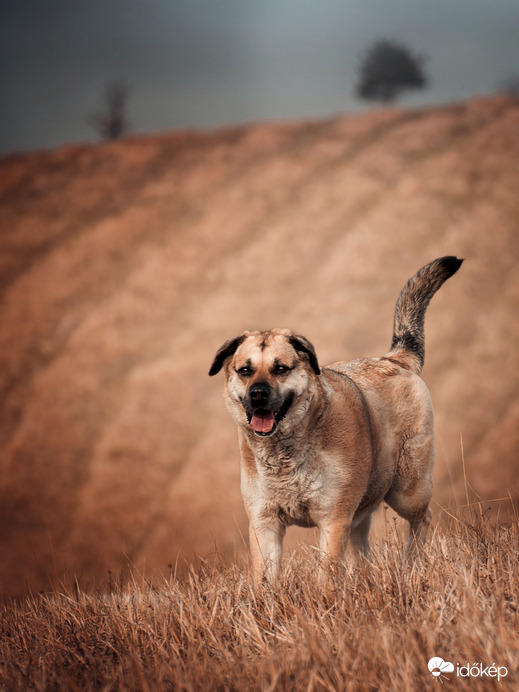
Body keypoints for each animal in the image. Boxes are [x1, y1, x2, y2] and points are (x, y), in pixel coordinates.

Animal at [209, 256, 466, 580]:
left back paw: (410, 563)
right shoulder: (264, 523)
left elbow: (327, 576)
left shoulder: (332, 520)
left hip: (408, 489)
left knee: (423, 519)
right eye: (245, 370)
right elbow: (265, 579)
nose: (257, 394)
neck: (286, 453)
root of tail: (393, 359)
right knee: (362, 545)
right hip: (365, 507)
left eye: (281, 368)